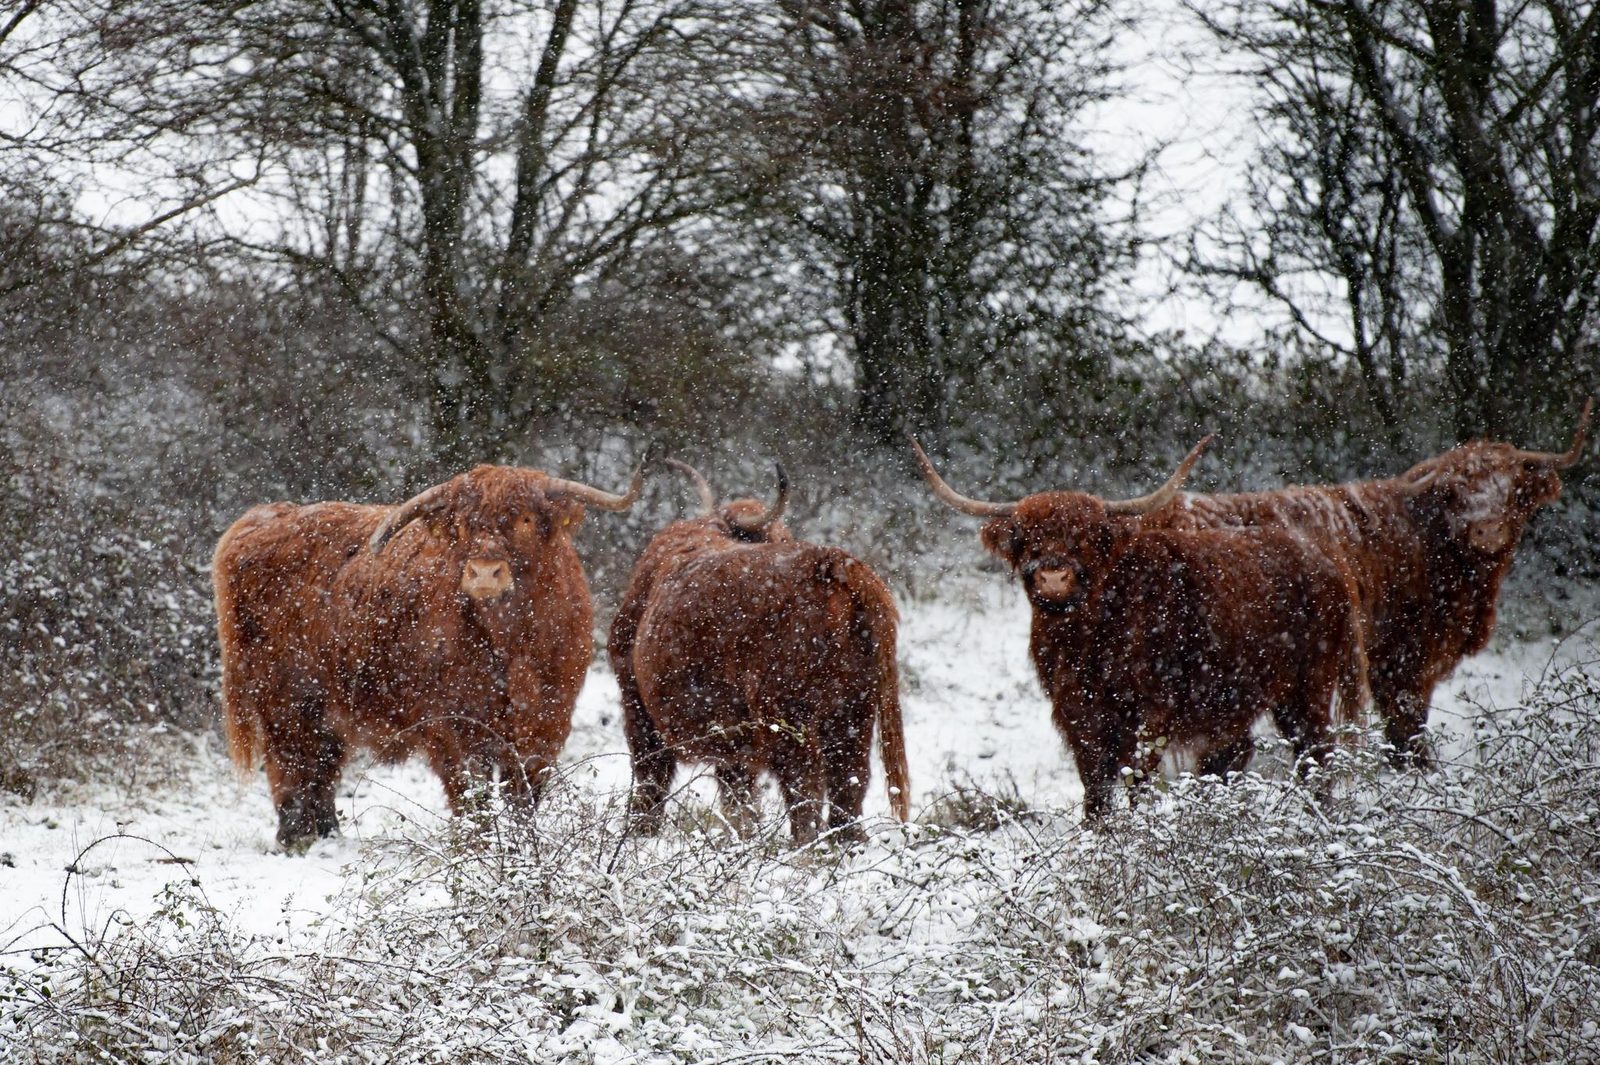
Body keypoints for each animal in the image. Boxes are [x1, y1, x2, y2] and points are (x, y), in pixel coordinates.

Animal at [216, 457, 646, 844]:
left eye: (524, 519)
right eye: (464, 525)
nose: (484, 573)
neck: (511, 645)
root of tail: (263, 519)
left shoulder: (547, 722)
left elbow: (522, 795)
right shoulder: (451, 724)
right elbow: (470, 795)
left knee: (322, 762)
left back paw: (327, 834)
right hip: (283, 694)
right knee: (291, 762)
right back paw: (297, 837)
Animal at [915, 434, 1363, 815]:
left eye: (1086, 537)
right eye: (1027, 536)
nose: (1054, 577)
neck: (1086, 641)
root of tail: (1324, 558)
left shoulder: (1151, 713)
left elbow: (1138, 779)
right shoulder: (1077, 716)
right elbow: (1095, 788)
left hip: (1308, 687)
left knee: (1315, 754)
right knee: (1233, 756)